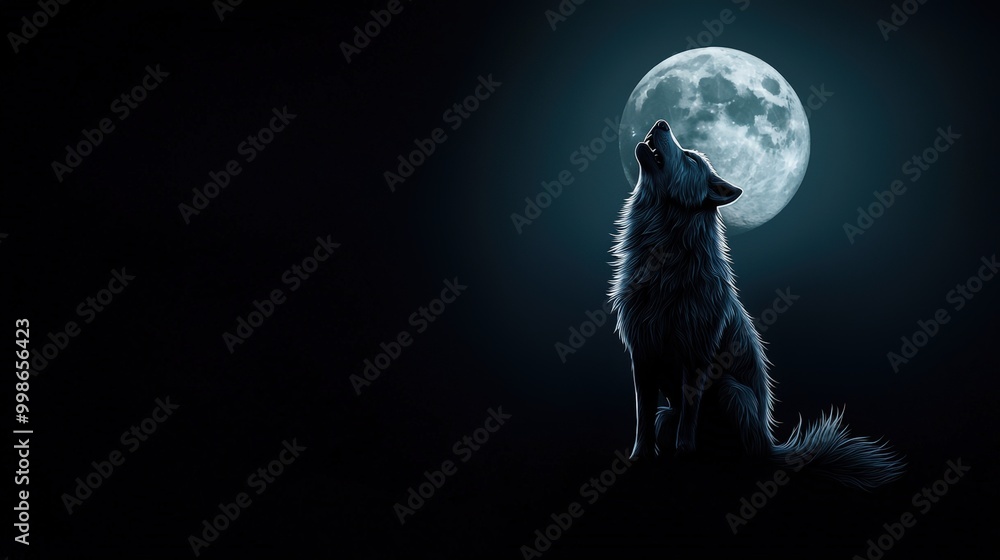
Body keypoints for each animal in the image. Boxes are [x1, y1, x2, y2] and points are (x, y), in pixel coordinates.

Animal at [608, 120, 903, 489]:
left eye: (690, 157)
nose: (661, 122)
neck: (664, 261)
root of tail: (769, 443)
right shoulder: (642, 354)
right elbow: (642, 414)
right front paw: (640, 457)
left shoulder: (696, 354)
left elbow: (689, 412)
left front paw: (683, 453)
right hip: (670, 413)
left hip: (731, 391)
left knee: (740, 452)